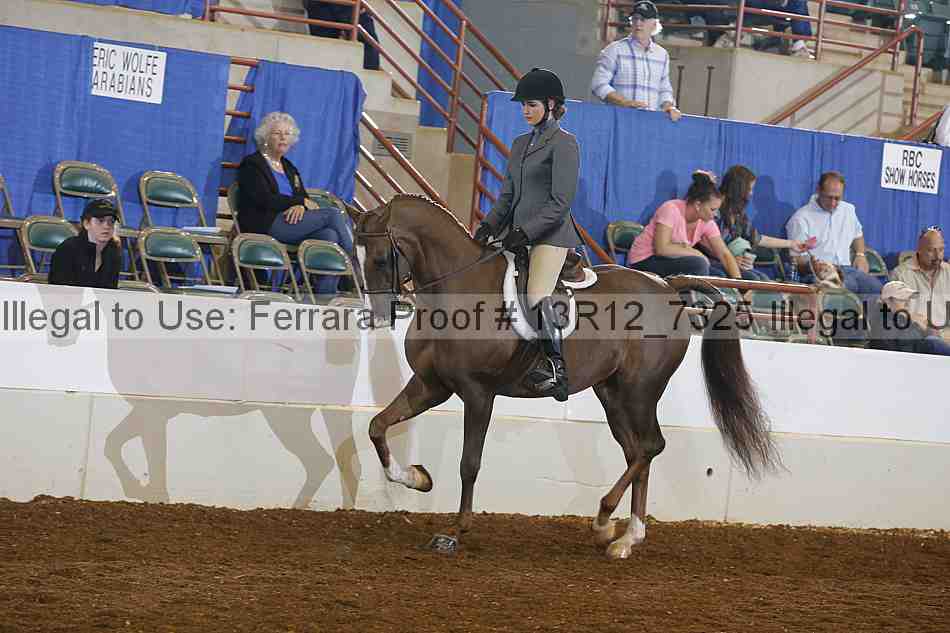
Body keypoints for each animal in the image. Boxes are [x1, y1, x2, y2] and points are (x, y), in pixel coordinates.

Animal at [348, 194, 779, 559]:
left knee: (650, 446)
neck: (457, 291)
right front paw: (416, 478)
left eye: (382, 259)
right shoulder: (432, 385)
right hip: (613, 394)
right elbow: (377, 426)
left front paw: (455, 532)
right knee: (636, 451)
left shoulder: (478, 392)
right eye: (357, 257)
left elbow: (469, 462)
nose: (377, 316)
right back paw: (625, 537)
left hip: (640, 391)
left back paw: (606, 522)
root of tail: (666, 285)